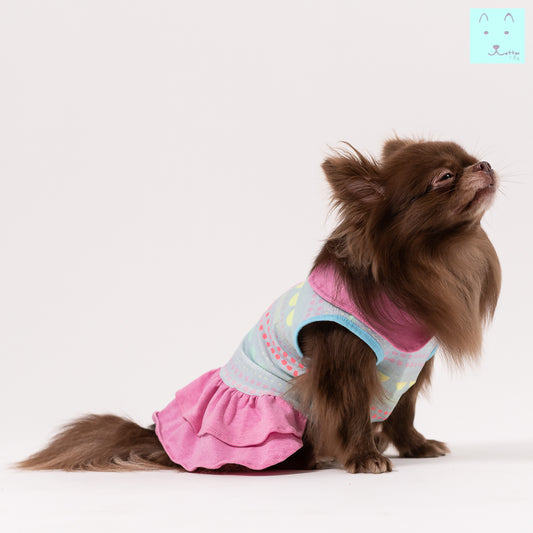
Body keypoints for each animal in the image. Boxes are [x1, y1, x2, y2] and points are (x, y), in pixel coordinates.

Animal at [17, 138, 501, 474]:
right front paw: (364, 455)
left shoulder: (408, 373)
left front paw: (415, 447)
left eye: (472, 157)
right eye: (445, 177)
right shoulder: (347, 368)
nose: (484, 164)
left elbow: (403, 411)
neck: (438, 261)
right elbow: (352, 412)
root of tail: (159, 442)